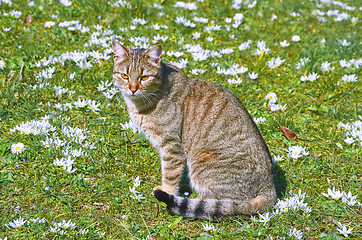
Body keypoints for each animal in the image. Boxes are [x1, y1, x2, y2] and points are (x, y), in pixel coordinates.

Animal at [113, 40, 278, 220]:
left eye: (144, 77)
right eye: (124, 76)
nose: (133, 89)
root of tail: (269, 185)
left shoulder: (172, 148)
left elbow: (170, 176)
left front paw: (166, 192)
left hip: (203, 162)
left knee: (228, 205)